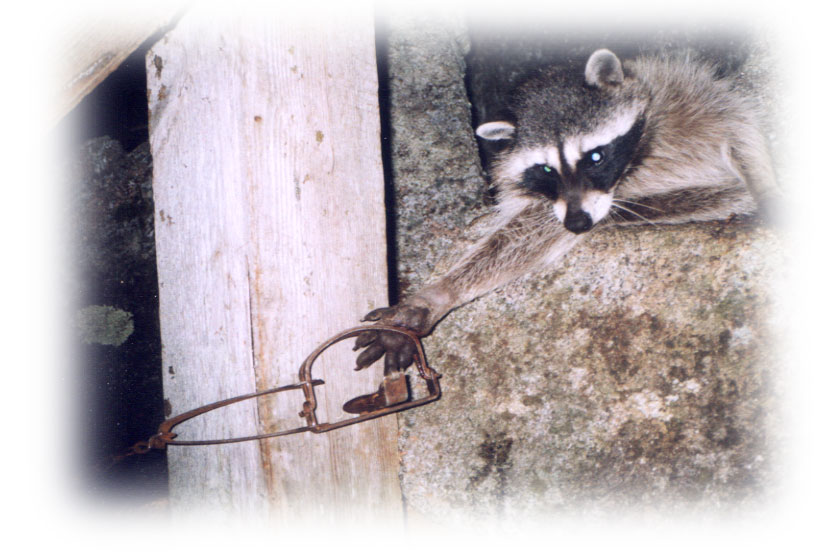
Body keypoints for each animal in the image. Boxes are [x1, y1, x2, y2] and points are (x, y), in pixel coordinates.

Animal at [354, 47, 778, 375]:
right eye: (545, 170)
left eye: (595, 156)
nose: (577, 222)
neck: (641, 154)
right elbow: (532, 229)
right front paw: (438, 295)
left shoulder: (690, 99)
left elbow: (737, 137)